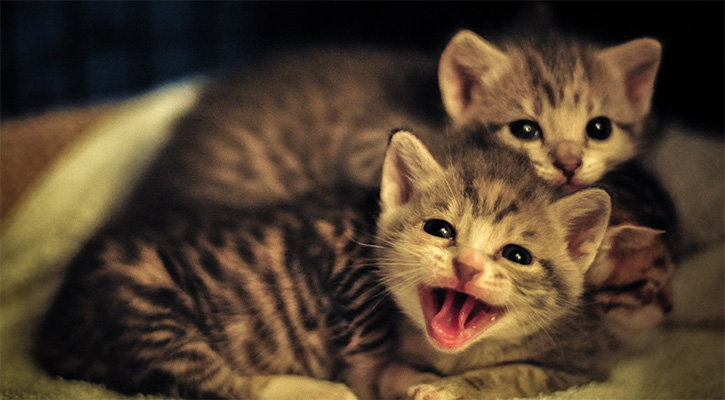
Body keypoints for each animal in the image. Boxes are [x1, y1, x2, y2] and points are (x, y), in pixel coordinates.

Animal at [34, 131, 612, 400]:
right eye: (441, 229)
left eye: (516, 255)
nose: (467, 265)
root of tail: (54, 328)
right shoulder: (348, 272)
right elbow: (368, 364)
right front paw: (395, 380)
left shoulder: (579, 364)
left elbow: (515, 373)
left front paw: (435, 385)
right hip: (142, 304)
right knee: (218, 381)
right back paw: (322, 391)